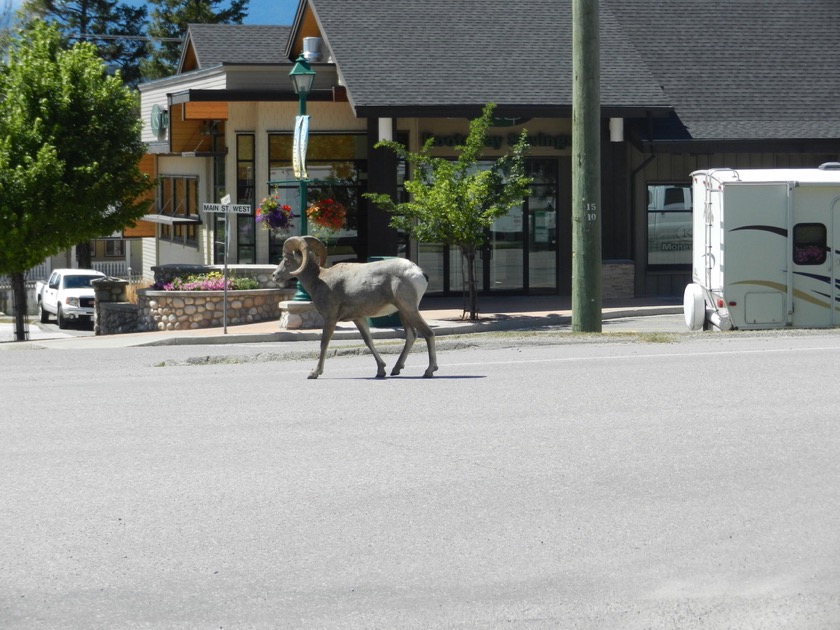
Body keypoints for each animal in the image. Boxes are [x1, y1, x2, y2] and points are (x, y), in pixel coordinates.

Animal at [274, 235, 440, 378]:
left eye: (286, 260)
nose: (275, 276)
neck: (319, 280)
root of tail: (418, 273)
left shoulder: (330, 318)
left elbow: (324, 343)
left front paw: (314, 373)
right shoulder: (358, 318)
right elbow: (368, 341)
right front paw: (381, 371)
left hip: (409, 309)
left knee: (428, 333)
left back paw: (429, 371)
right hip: (403, 312)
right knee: (411, 336)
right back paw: (396, 369)